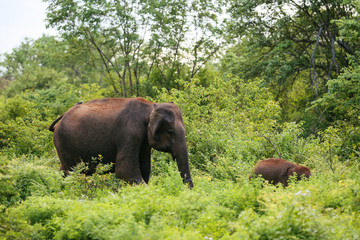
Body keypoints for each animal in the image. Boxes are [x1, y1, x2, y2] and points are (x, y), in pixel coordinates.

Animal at [50, 96, 194, 188]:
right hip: (62, 141)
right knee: (71, 171)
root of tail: (62, 116)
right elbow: (124, 170)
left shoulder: (144, 140)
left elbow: (145, 169)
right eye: (170, 132)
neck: (151, 106)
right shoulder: (129, 133)